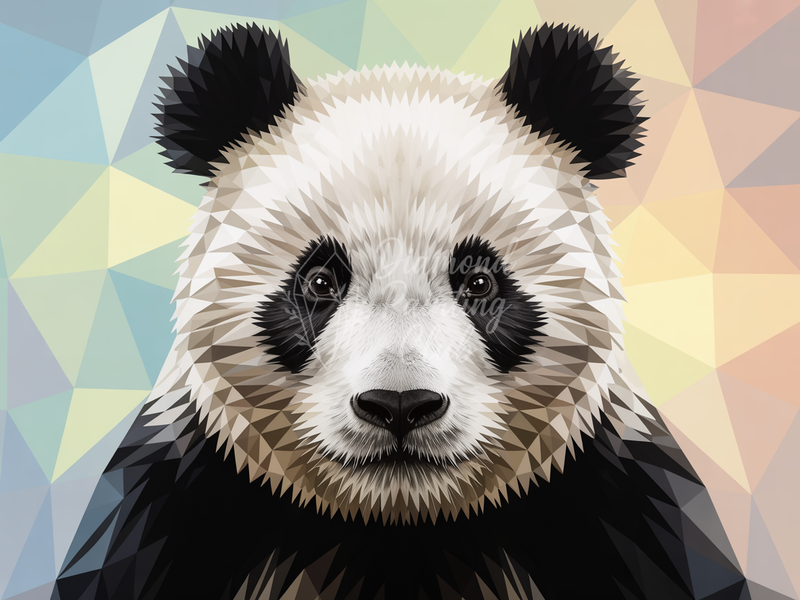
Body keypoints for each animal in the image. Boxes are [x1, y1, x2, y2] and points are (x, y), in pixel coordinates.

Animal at [52, 23, 747, 600]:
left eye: (478, 281)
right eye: (320, 280)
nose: (400, 406)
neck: (397, 522)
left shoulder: (618, 508)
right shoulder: (180, 504)